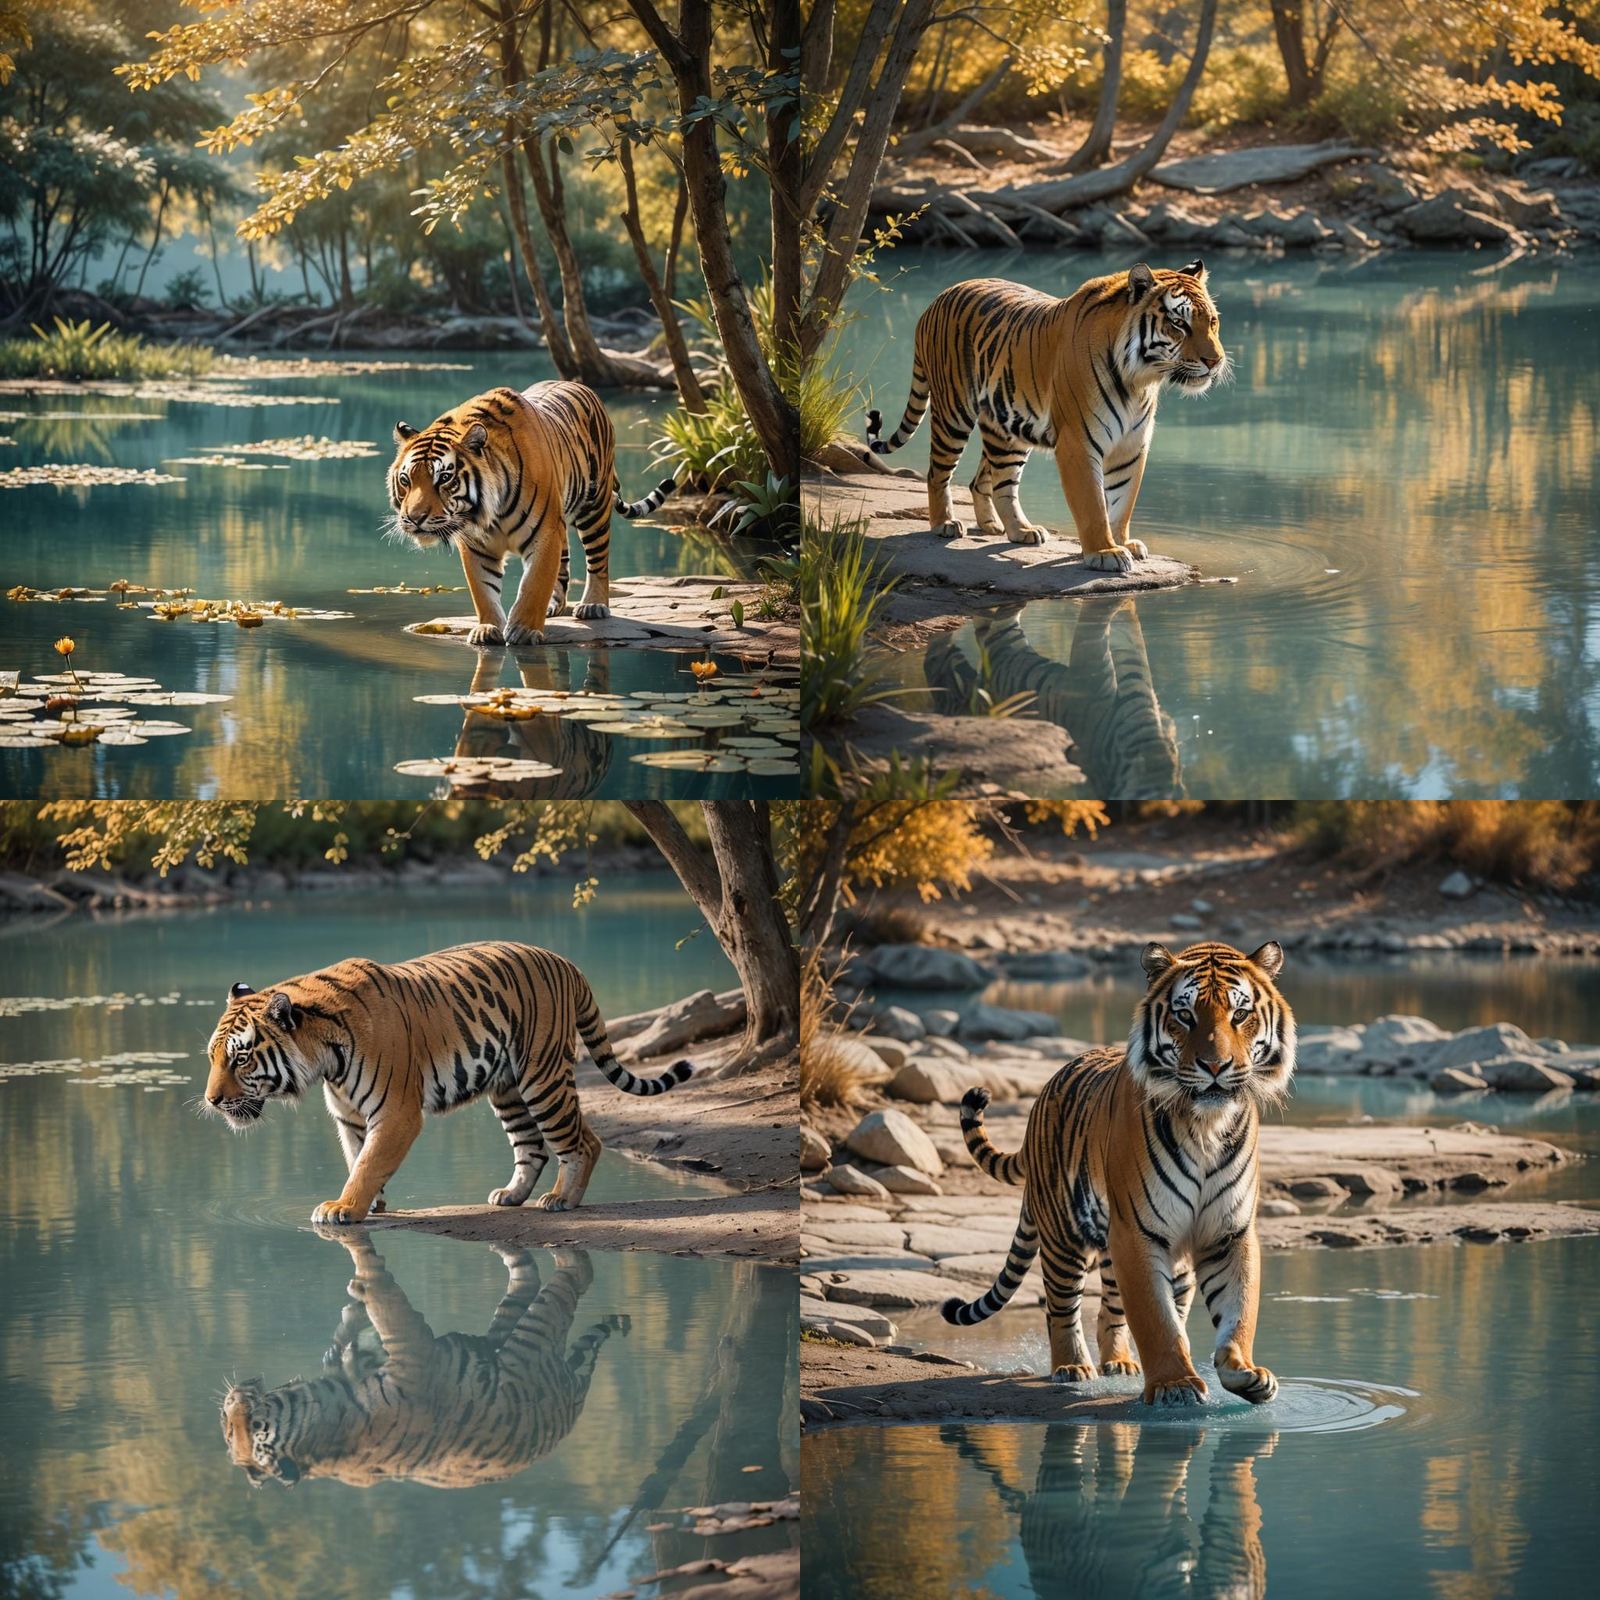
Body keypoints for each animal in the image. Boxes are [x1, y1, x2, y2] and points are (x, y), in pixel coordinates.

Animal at [203, 940, 693, 1223]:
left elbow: (368, 1163)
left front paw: (344, 1207)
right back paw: (511, 1195)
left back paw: (561, 1200)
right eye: (212, 1057)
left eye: (241, 1058)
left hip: (542, 1077)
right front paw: (369, 1203)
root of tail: (566, 961)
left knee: (578, 1142)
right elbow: (356, 1157)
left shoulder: (396, 1113)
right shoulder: (349, 1117)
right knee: (537, 1145)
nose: (211, 1101)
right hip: (509, 1088)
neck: (326, 1058)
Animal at [223, 1237, 623, 1488]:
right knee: (537, 1280)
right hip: (526, 1338)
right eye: (229, 1431)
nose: (230, 1399)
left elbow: (382, 1302)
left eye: (241, 1427)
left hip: (531, 1338)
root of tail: (570, 1415)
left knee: (570, 1274)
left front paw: (356, 1306)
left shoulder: (410, 1348)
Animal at [388, 380, 677, 647]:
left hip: (594, 507)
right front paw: (488, 629)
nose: (414, 518)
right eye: (405, 480)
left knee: (598, 559)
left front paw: (524, 630)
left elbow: (534, 584)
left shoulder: (545, 534)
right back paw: (553, 606)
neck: (486, 514)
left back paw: (593, 605)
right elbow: (483, 590)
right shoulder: (477, 544)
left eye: (445, 478)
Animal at [865, 261, 1226, 574]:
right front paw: (1104, 552)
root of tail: (937, 298)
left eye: (1212, 321)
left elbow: (1122, 501)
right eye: (1178, 323)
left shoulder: (1131, 446)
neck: (1140, 379)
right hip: (953, 413)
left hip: (1006, 430)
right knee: (937, 473)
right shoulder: (1079, 442)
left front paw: (1122, 542)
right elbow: (1093, 504)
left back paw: (1011, 529)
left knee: (997, 481)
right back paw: (944, 523)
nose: (1216, 361)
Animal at [942, 939, 1294, 1408]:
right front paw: (1174, 1385)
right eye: (1185, 1014)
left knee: (1109, 1309)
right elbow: (1155, 1318)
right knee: (1060, 1306)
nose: (1215, 1066)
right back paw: (1072, 1367)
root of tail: (1042, 1097)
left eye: (1240, 1014)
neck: (1207, 1125)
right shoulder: (1139, 1232)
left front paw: (1243, 1373)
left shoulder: (1228, 1231)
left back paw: (1121, 1363)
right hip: (1064, 1236)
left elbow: (1238, 1310)